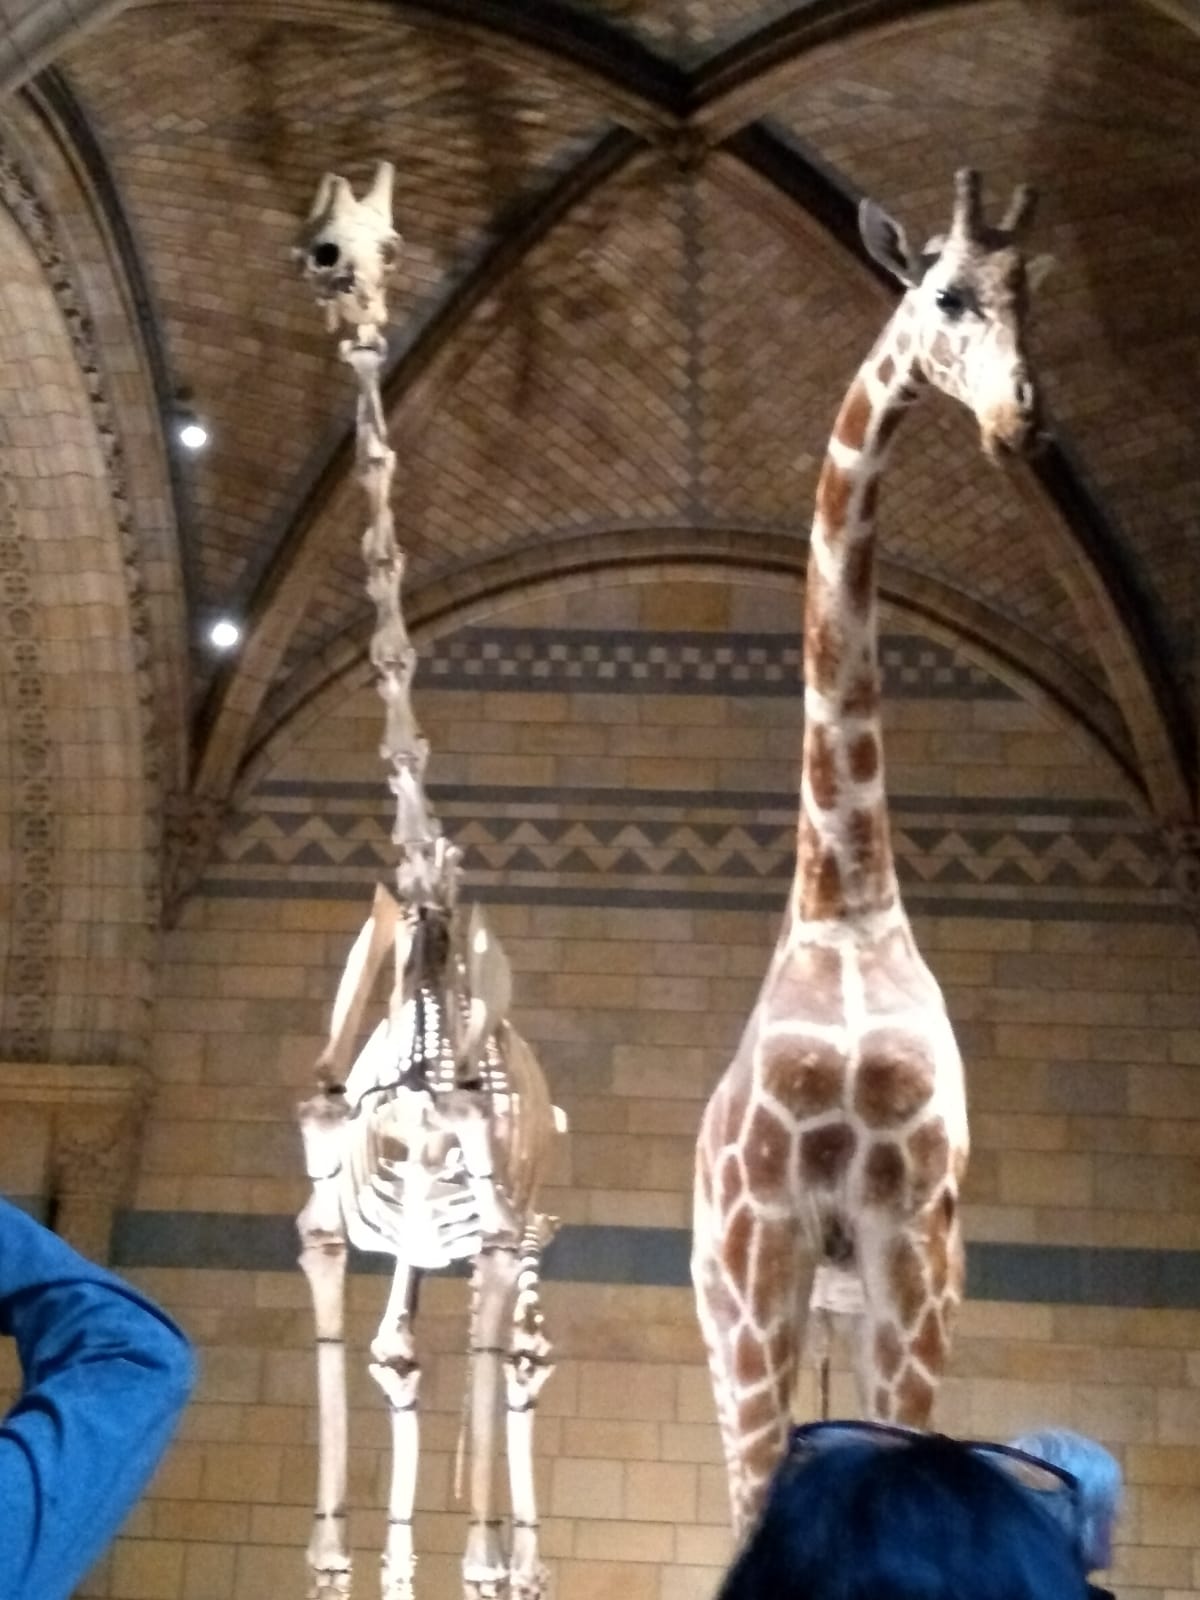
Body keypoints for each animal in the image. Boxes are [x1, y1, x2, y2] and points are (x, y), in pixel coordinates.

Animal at [694, 168, 1049, 1529]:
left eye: (1028, 294)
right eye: (945, 293)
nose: (1020, 419)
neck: (844, 900)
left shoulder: (917, 1238)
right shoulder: (767, 1248)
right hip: (727, 1300)